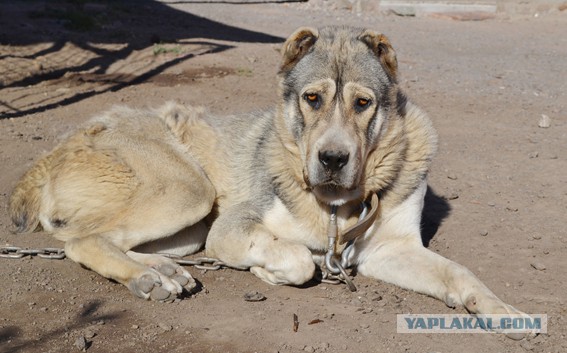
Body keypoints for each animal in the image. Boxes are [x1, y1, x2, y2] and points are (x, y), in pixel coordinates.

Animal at [11, 26, 532, 336]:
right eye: (312, 98)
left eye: (363, 103)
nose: (332, 158)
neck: (336, 206)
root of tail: (54, 151)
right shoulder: (231, 229)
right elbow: (299, 258)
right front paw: (271, 271)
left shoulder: (391, 249)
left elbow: (460, 273)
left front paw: (502, 311)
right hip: (191, 195)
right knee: (82, 242)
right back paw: (146, 278)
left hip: (188, 230)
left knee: (108, 241)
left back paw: (165, 273)